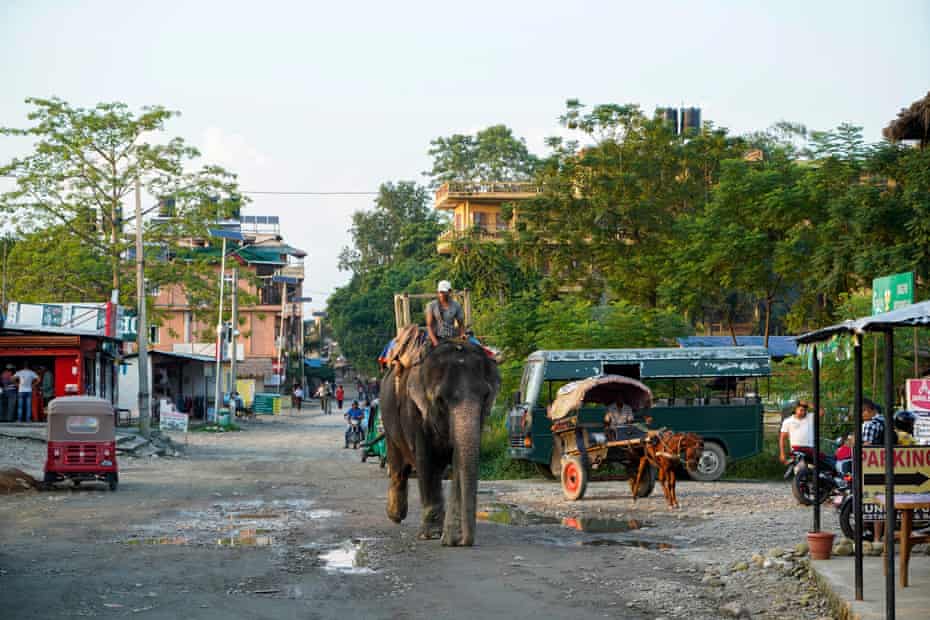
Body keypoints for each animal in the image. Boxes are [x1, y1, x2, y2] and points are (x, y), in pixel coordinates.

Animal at [376, 340, 496, 548]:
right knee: (398, 466)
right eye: (440, 400)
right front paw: (431, 535)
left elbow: (458, 460)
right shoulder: (415, 412)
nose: (463, 542)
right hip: (388, 418)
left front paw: (449, 536)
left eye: (485, 396)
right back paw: (395, 515)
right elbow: (427, 461)